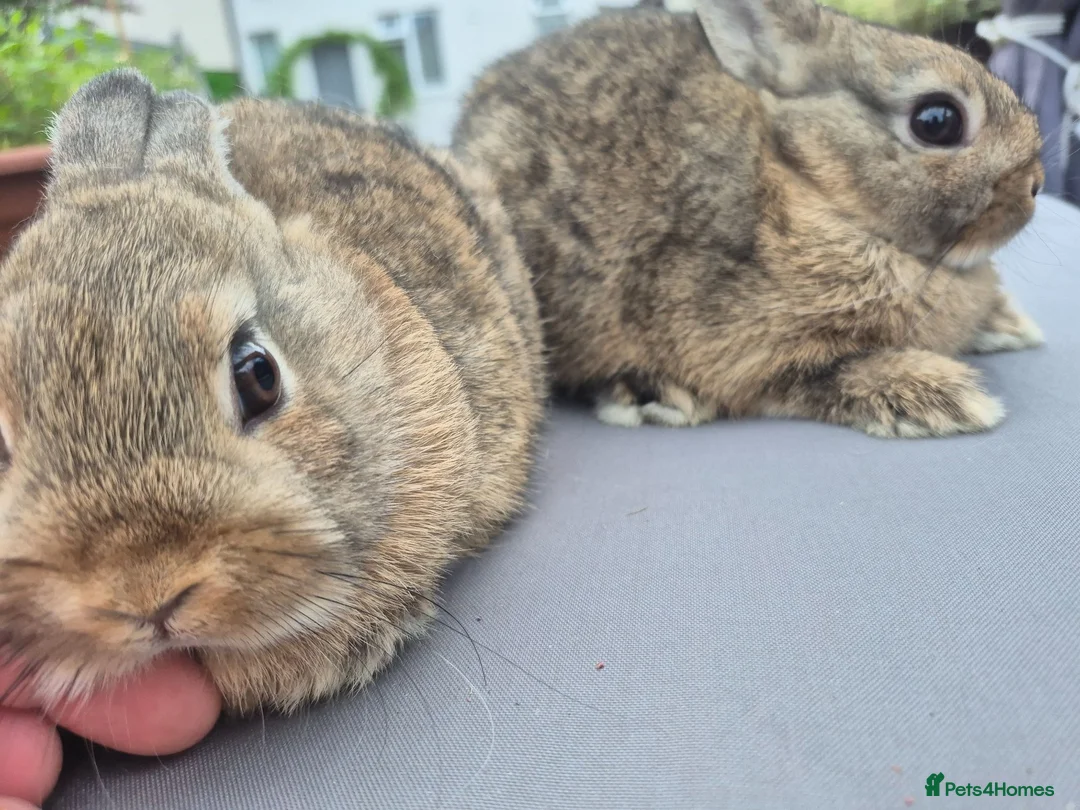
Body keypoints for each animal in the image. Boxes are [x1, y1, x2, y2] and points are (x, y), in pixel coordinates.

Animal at [452, 0, 1046, 438]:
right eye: (937, 120)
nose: (1036, 185)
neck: (810, 185)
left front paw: (1008, 327)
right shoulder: (750, 352)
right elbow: (830, 375)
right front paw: (946, 399)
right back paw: (649, 395)